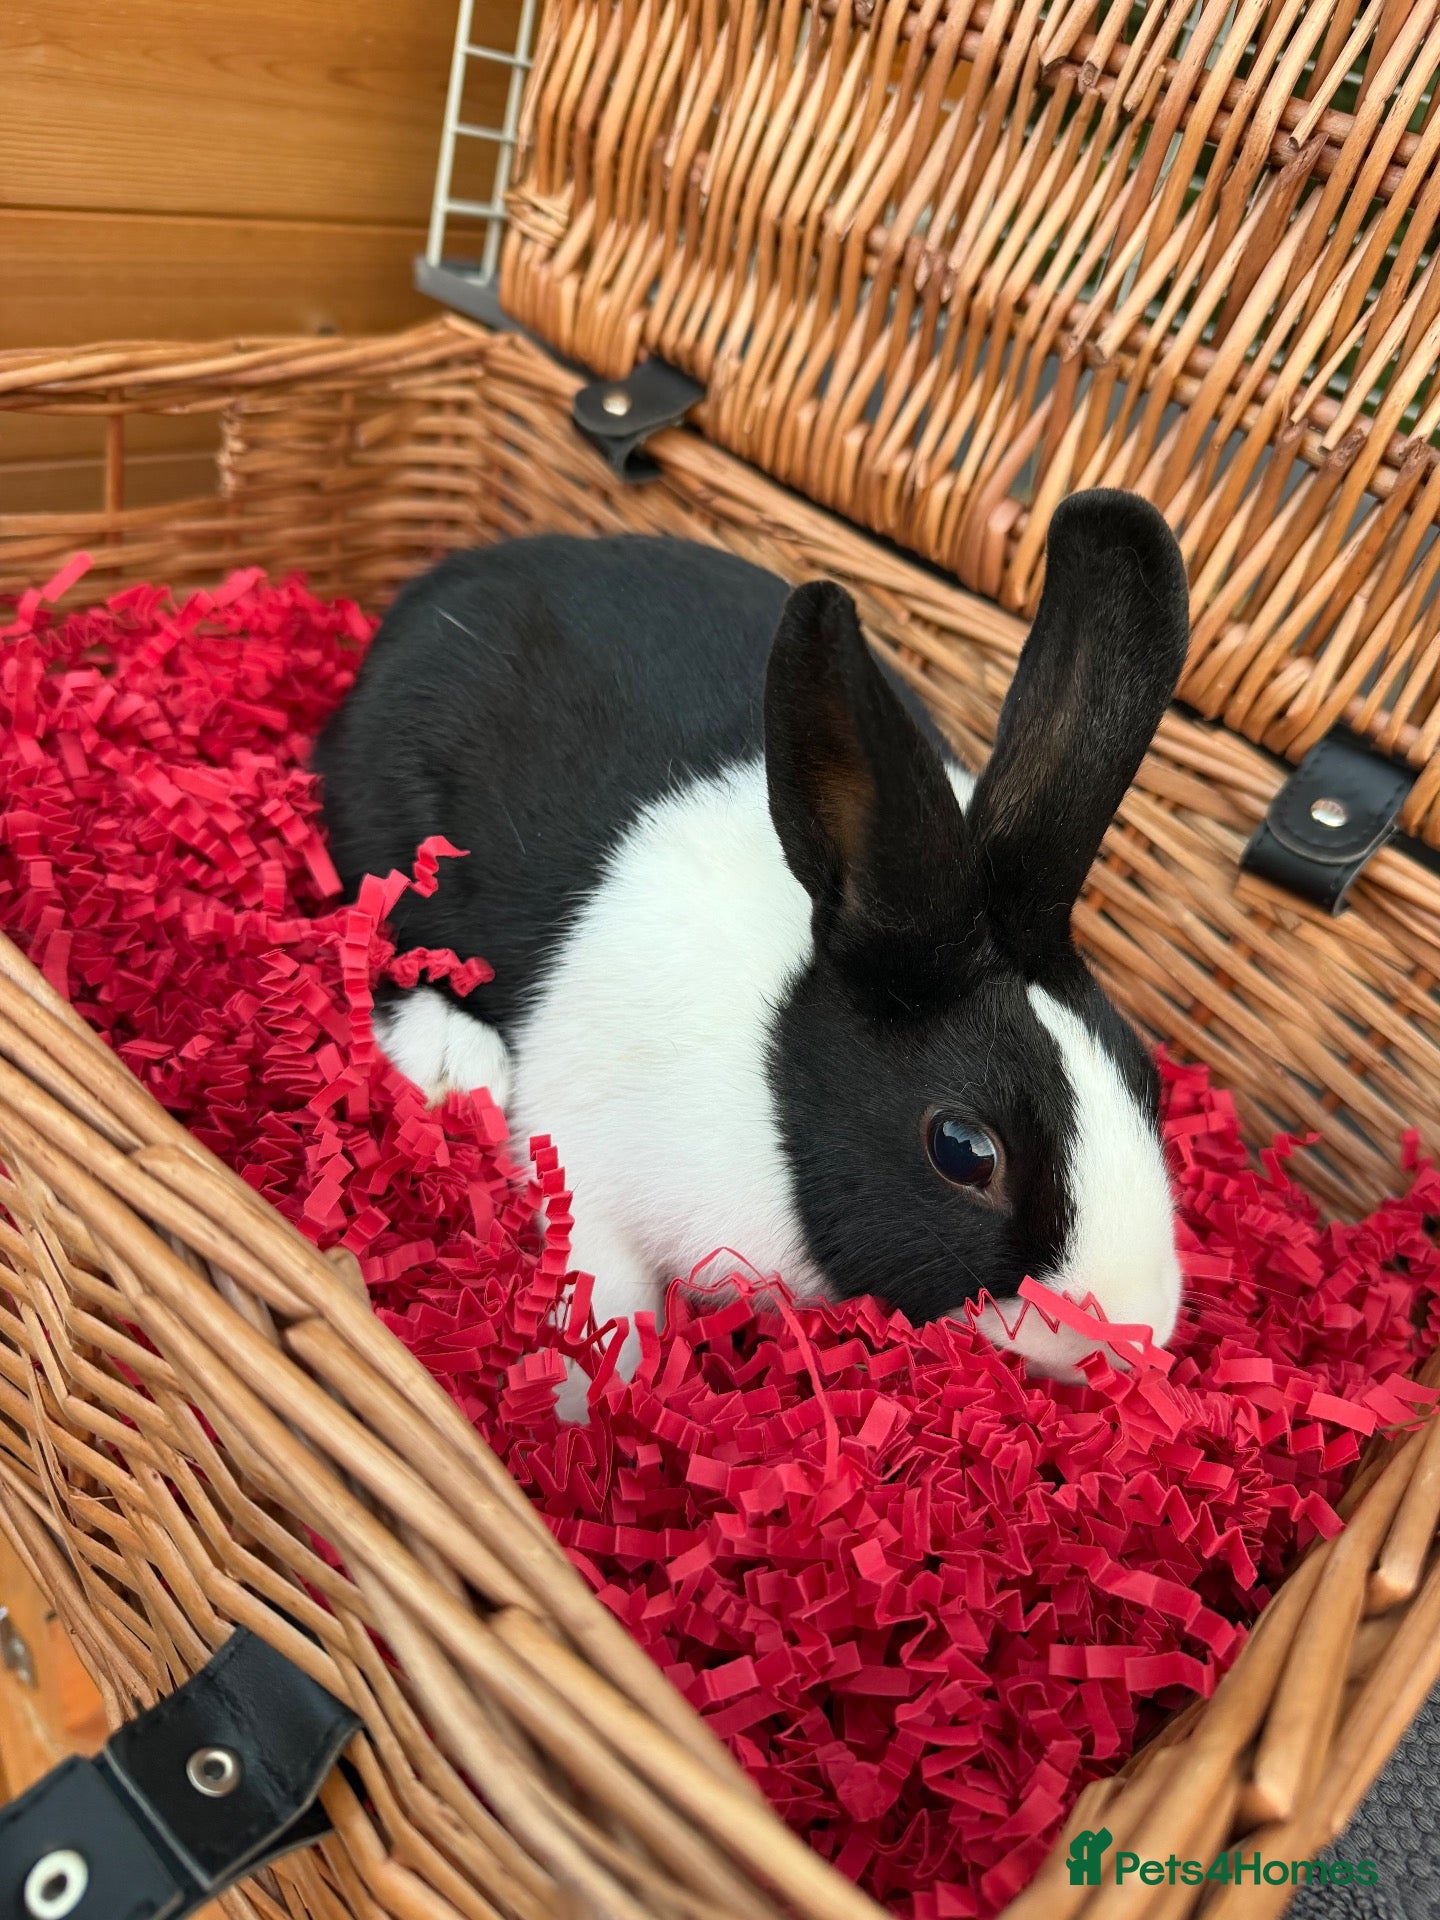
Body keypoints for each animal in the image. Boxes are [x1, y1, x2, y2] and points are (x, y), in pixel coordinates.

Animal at [312, 489, 1190, 1414]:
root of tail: (437, 588)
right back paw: (452, 1062)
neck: (778, 1084)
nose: (1133, 1334)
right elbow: (606, 1302)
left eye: (1147, 1078)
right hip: (388, 838)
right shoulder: (587, 1176)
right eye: (962, 1149)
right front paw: (589, 1409)